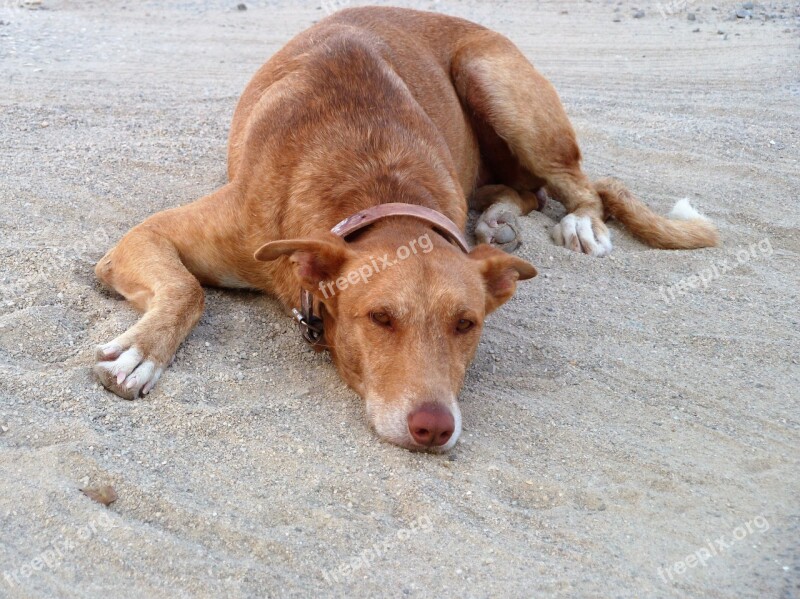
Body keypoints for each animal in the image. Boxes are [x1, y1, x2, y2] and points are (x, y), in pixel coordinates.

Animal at [94, 8, 720, 450]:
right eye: (380, 319)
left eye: (466, 324)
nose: (433, 427)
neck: (378, 190)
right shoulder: (145, 239)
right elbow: (187, 289)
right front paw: (142, 353)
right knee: (527, 188)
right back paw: (500, 216)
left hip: (497, 82)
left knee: (575, 183)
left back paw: (578, 223)